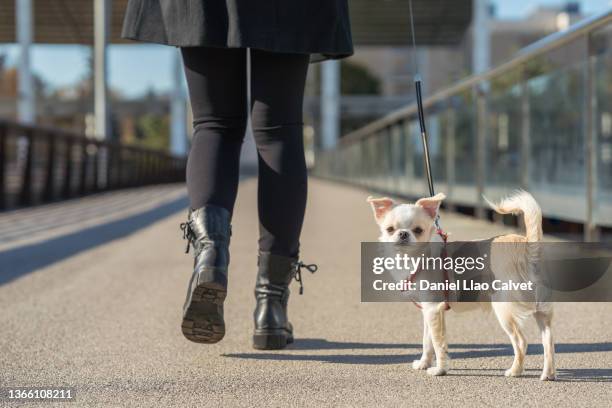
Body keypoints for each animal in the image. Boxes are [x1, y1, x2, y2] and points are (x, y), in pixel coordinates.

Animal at [368, 191, 556, 380]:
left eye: (418, 230)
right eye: (390, 229)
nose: (403, 234)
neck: (415, 259)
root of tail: (528, 248)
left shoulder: (432, 309)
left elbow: (438, 344)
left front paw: (440, 370)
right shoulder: (429, 311)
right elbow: (427, 341)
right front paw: (423, 363)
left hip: (505, 310)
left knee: (521, 342)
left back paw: (515, 371)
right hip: (542, 312)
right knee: (548, 342)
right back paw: (548, 374)